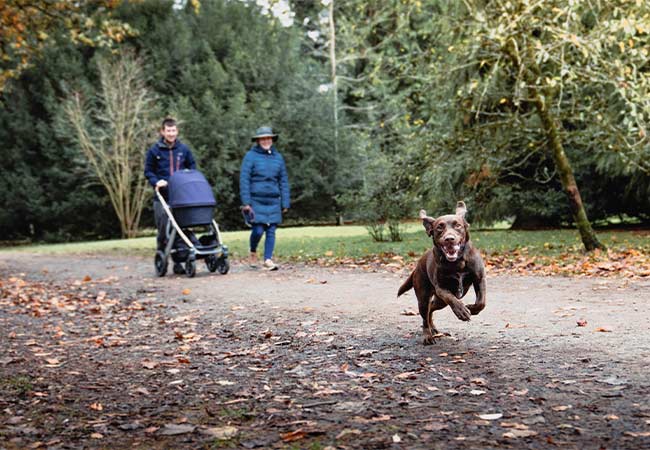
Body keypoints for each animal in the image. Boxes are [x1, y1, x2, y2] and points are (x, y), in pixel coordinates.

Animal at [398, 200, 484, 344]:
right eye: (439, 227)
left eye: (458, 225)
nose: (449, 239)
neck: (457, 263)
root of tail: (418, 265)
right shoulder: (441, 288)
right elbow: (451, 298)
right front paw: (461, 311)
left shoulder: (480, 279)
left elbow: (482, 302)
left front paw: (472, 308)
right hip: (424, 298)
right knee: (425, 315)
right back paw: (428, 335)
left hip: (439, 302)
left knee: (431, 309)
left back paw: (433, 329)